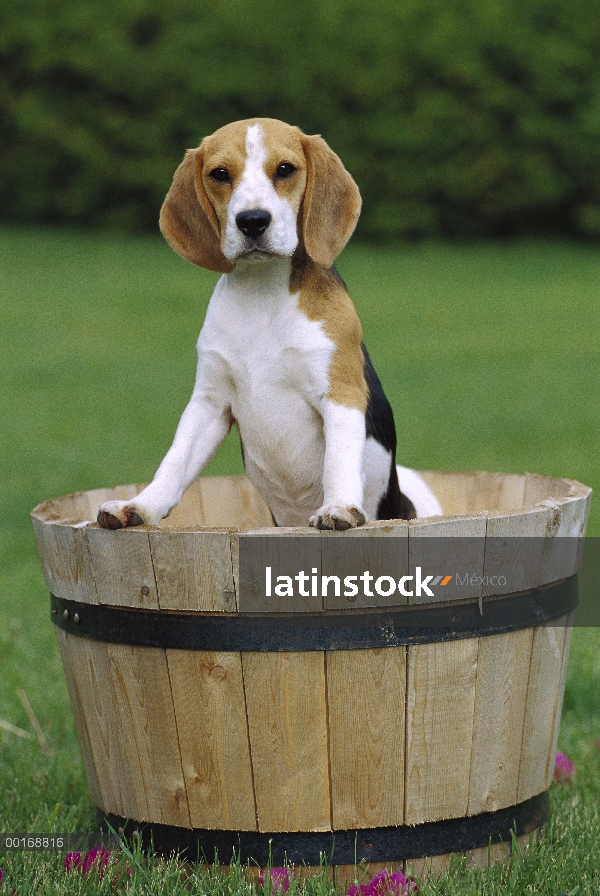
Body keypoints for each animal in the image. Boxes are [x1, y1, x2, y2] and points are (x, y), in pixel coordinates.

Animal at [96, 115, 438, 528]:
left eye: (285, 169)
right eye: (220, 174)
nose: (253, 221)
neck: (262, 294)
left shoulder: (339, 391)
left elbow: (337, 461)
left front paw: (339, 506)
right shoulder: (209, 401)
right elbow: (175, 461)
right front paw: (141, 505)